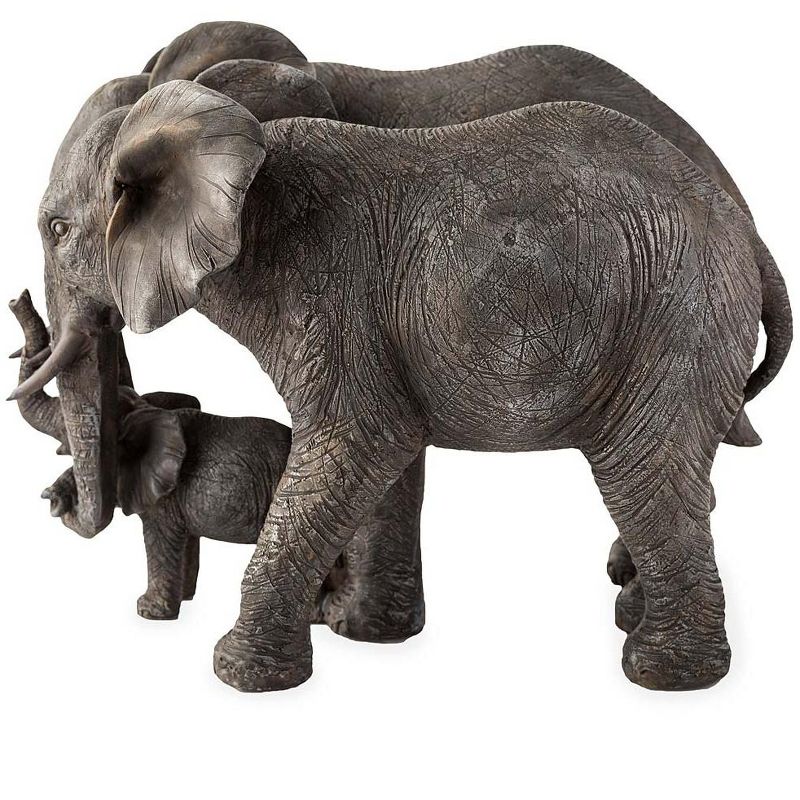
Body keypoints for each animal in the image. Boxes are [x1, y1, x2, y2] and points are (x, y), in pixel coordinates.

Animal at [12, 69, 790, 692]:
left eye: (57, 230)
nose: (22, 305)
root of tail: (746, 231)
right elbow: (390, 456)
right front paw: (360, 633)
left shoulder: (330, 296)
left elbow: (356, 445)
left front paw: (238, 672)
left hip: (679, 322)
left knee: (641, 470)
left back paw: (662, 675)